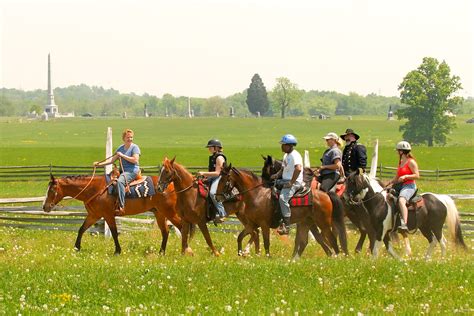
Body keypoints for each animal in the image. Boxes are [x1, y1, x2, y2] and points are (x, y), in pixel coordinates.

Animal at [43, 172, 183, 256]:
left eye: (52, 190)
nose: (45, 207)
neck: (95, 189)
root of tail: (171, 185)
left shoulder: (108, 215)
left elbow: (114, 232)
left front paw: (117, 251)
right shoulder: (94, 215)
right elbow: (81, 229)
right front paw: (77, 248)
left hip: (170, 212)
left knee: (181, 227)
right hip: (160, 213)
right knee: (165, 232)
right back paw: (161, 252)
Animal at [215, 163, 344, 260]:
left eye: (224, 179)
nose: (217, 197)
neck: (257, 195)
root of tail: (326, 194)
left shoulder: (264, 224)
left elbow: (266, 242)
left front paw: (267, 257)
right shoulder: (251, 224)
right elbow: (241, 236)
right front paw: (241, 253)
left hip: (323, 223)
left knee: (331, 239)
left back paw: (336, 257)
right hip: (307, 222)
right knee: (307, 241)